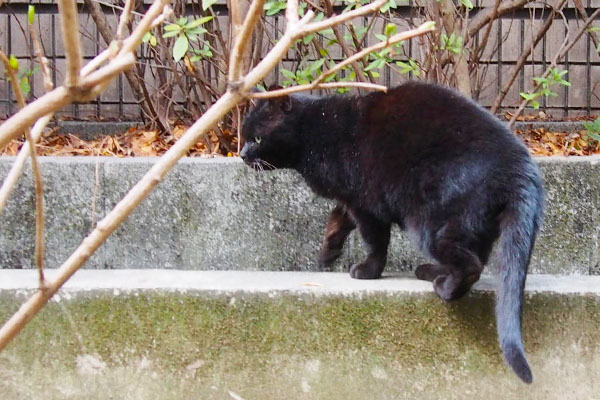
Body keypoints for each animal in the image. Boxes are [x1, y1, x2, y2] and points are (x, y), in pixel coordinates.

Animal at [239, 79, 544, 382]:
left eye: (257, 139)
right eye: (243, 137)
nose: (241, 154)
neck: (315, 131)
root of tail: (520, 168)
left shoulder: (366, 202)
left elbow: (374, 241)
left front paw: (367, 271)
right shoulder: (350, 198)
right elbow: (337, 220)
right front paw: (328, 253)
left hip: (429, 224)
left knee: (471, 264)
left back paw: (443, 287)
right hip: (472, 224)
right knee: (474, 256)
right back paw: (431, 272)